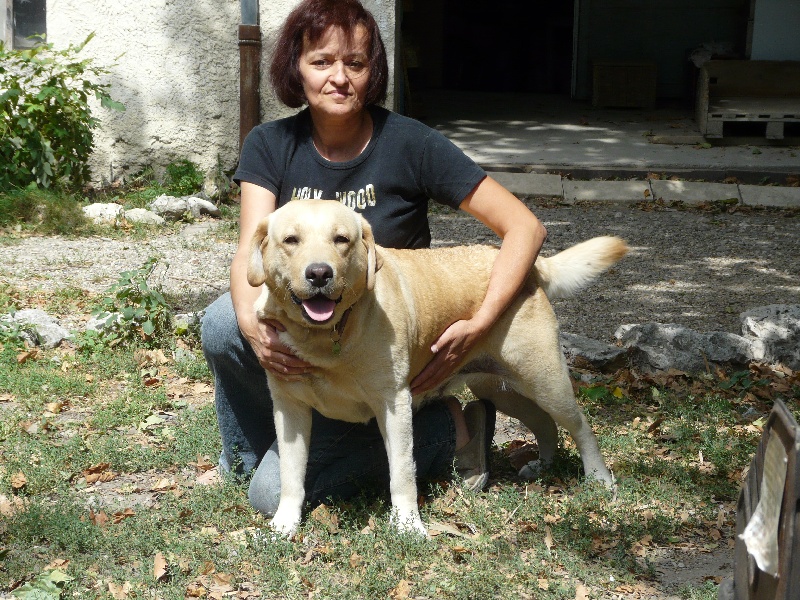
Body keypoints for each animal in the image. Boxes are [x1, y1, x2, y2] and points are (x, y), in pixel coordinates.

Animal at [247, 199, 627, 536]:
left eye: (341, 239)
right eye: (291, 240)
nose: (319, 273)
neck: (328, 339)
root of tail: (527, 264)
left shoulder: (394, 404)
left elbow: (402, 471)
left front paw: (407, 525)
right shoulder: (289, 408)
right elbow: (290, 476)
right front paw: (284, 525)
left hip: (545, 378)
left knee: (581, 427)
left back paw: (599, 479)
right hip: (501, 389)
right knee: (544, 423)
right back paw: (544, 464)